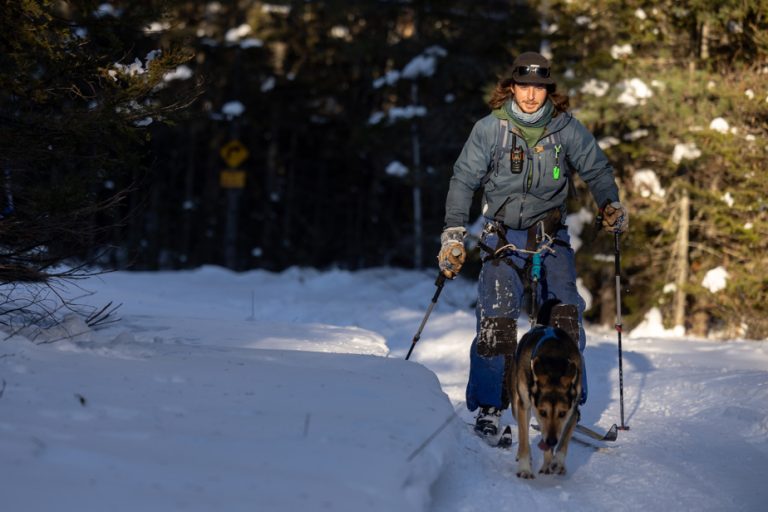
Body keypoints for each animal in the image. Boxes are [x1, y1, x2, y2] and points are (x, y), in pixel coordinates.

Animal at [508, 302, 584, 478]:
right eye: (543, 412)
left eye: (562, 413)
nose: (551, 441)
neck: (554, 363)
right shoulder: (524, 406)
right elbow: (523, 438)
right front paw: (524, 468)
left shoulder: (573, 411)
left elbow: (564, 440)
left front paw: (556, 462)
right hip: (517, 404)